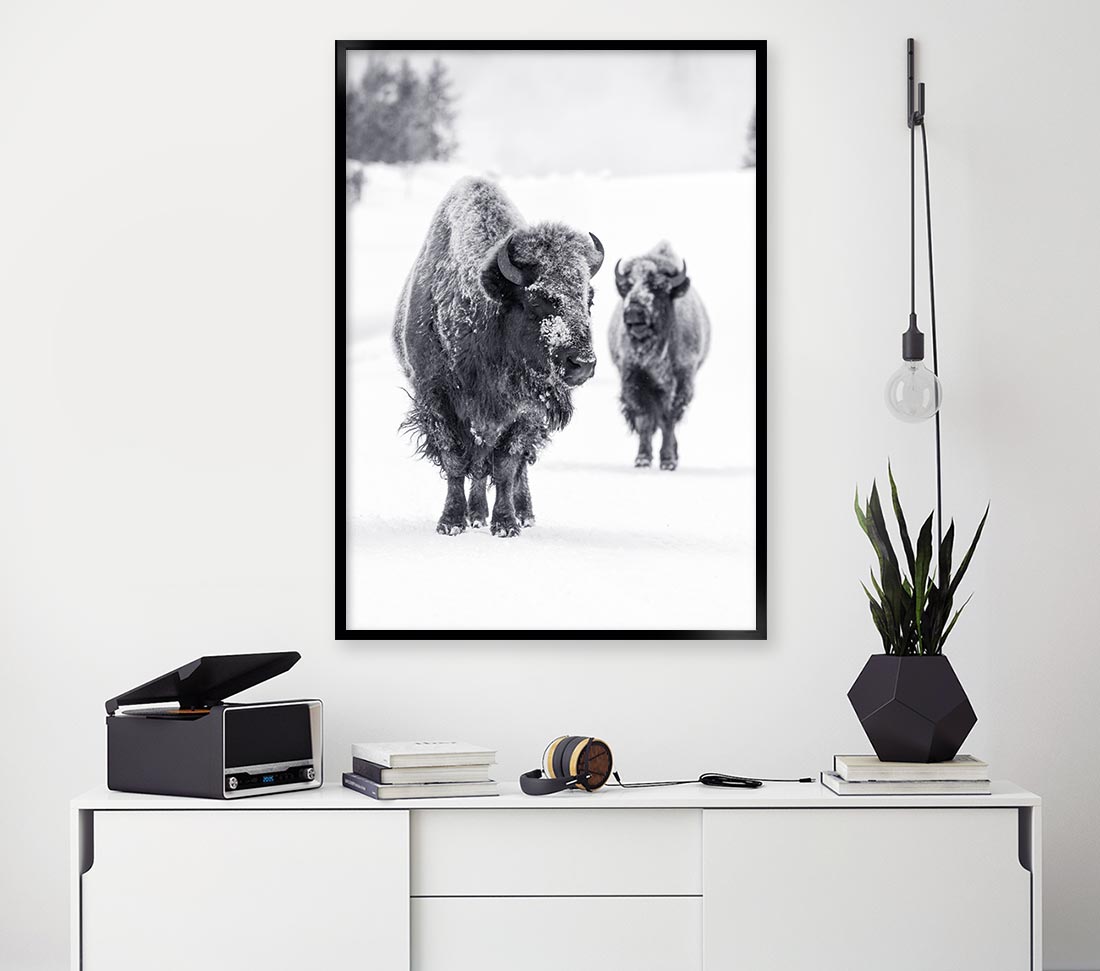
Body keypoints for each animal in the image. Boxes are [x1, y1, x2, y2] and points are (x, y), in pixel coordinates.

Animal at [393, 177, 604, 537]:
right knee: (477, 465)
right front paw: (451, 522)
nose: (583, 364)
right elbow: (454, 460)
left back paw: (523, 514)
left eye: (588, 299)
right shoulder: (435, 397)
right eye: (537, 299)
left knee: (513, 467)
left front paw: (506, 524)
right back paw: (476, 515)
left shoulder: (525, 413)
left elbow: (507, 465)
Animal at [608, 241, 710, 470]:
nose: (634, 312)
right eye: (629, 286)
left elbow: (667, 419)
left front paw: (668, 460)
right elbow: (645, 419)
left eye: (657, 287)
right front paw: (642, 458)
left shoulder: (680, 383)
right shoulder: (633, 381)